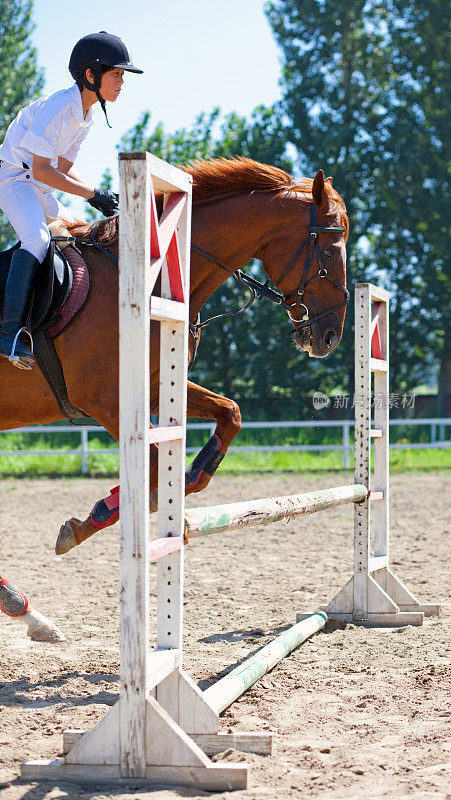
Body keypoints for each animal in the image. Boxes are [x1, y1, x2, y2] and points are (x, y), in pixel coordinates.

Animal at [0, 159, 350, 640]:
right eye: (331, 250)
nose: (330, 337)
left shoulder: (155, 389)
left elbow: (230, 416)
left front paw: (176, 485)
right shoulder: (108, 401)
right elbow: (151, 464)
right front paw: (109, 514)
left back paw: (28, 611)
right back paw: (24, 608)